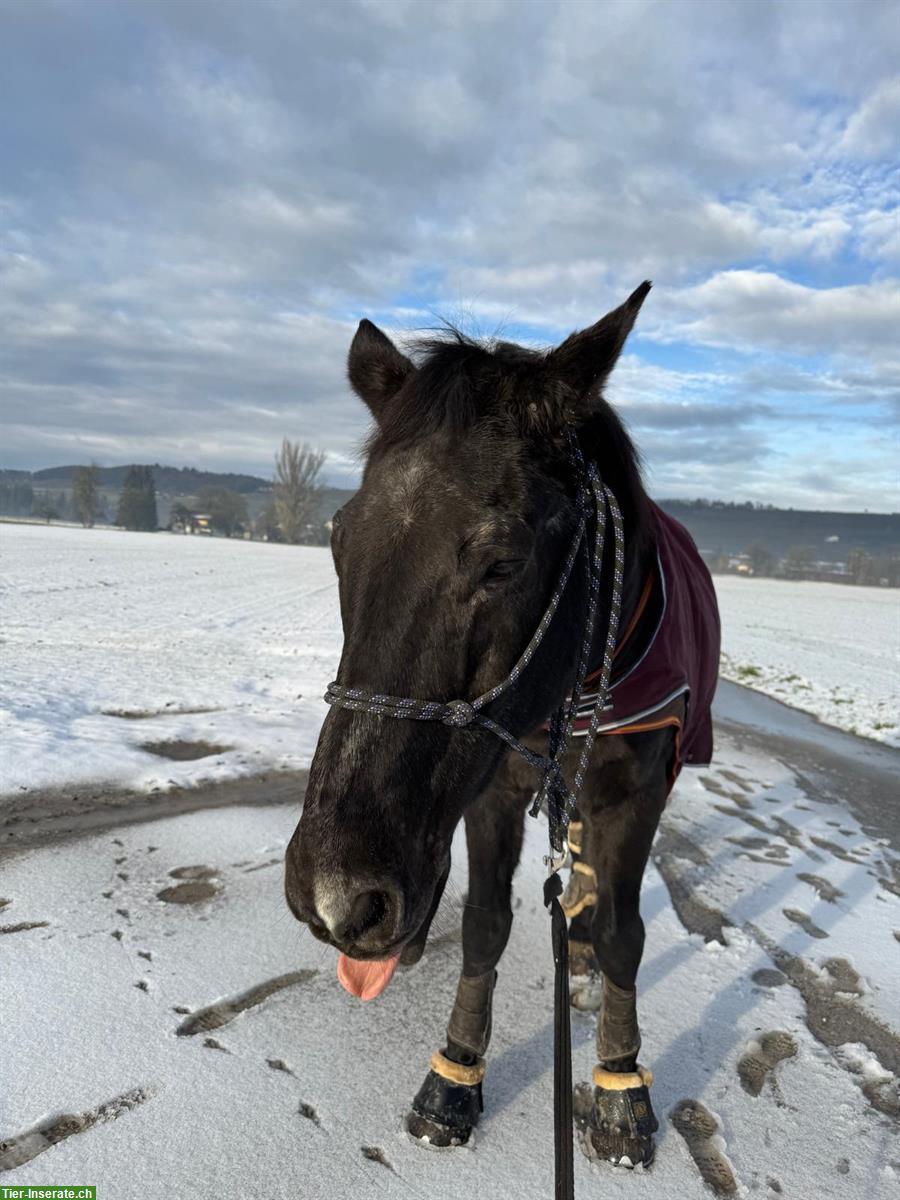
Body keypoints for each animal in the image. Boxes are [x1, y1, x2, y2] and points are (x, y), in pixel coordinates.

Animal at [285, 283, 724, 1171]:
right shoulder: (492, 788)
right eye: (341, 539)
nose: (333, 894)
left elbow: (624, 934)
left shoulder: (637, 796)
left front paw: (621, 1085)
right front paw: (455, 1072)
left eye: (503, 561)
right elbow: (486, 925)